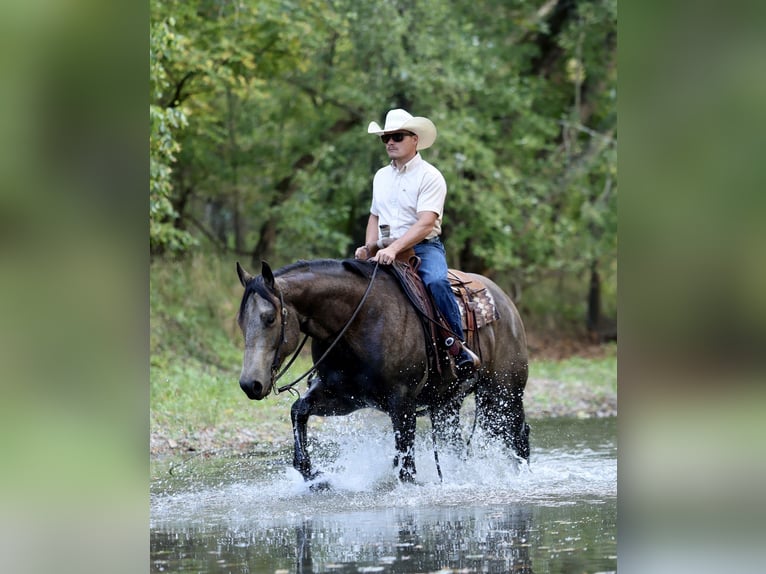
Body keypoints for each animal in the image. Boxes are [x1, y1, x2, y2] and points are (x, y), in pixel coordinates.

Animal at [235, 258, 530, 484]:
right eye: (241, 322)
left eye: (269, 318)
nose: (250, 384)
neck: (360, 320)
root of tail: (506, 304)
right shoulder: (344, 397)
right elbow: (299, 410)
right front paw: (315, 477)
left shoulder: (402, 403)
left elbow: (406, 465)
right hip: (448, 403)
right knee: (455, 442)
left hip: (505, 394)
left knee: (519, 434)